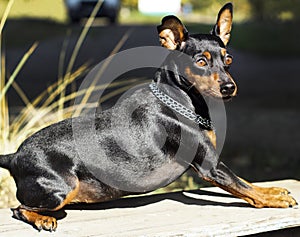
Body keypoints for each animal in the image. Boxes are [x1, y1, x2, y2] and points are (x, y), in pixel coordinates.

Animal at [0, 2, 296, 231]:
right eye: (200, 61)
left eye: (228, 59)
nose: (229, 87)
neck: (182, 101)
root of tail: (14, 155)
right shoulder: (210, 167)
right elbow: (242, 186)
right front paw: (274, 200)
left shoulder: (213, 163)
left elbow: (246, 182)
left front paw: (274, 190)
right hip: (62, 186)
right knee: (18, 208)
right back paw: (42, 219)